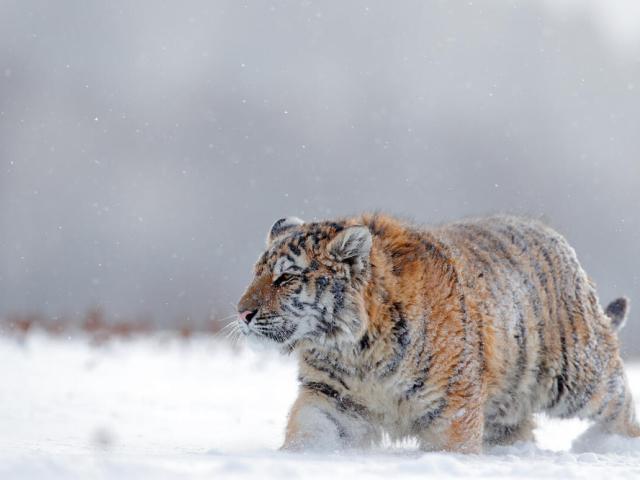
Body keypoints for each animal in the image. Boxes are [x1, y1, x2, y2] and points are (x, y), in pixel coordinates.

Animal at [235, 213, 639, 453]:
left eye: (285, 278)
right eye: (256, 273)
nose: (242, 313)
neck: (353, 350)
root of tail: (558, 239)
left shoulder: (452, 405)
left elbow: (452, 447)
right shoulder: (331, 397)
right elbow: (309, 433)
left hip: (578, 377)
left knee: (619, 401)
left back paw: (612, 446)